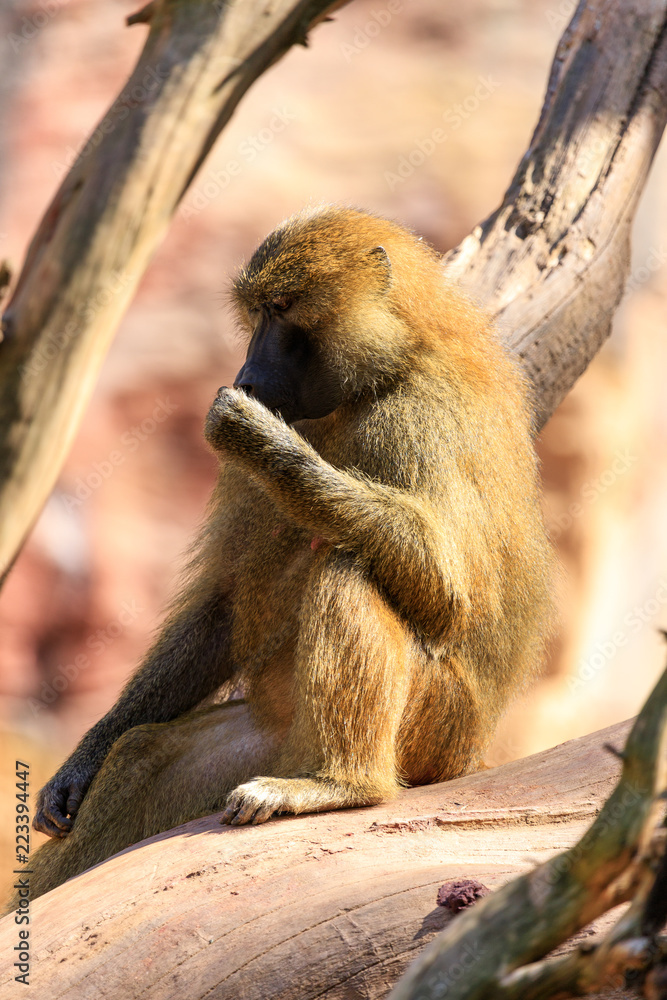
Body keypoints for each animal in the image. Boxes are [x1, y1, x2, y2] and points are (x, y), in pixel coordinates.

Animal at [5, 205, 553, 909]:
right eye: (258, 312)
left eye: (283, 309)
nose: (245, 377)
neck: (379, 376)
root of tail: (472, 753)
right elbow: (221, 604)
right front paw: (77, 768)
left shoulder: (423, 414)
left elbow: (450, 593)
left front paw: (262, 440)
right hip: (265, 737)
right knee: (141, 757)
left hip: (436, 730)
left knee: (352, 568)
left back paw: (340, 785)